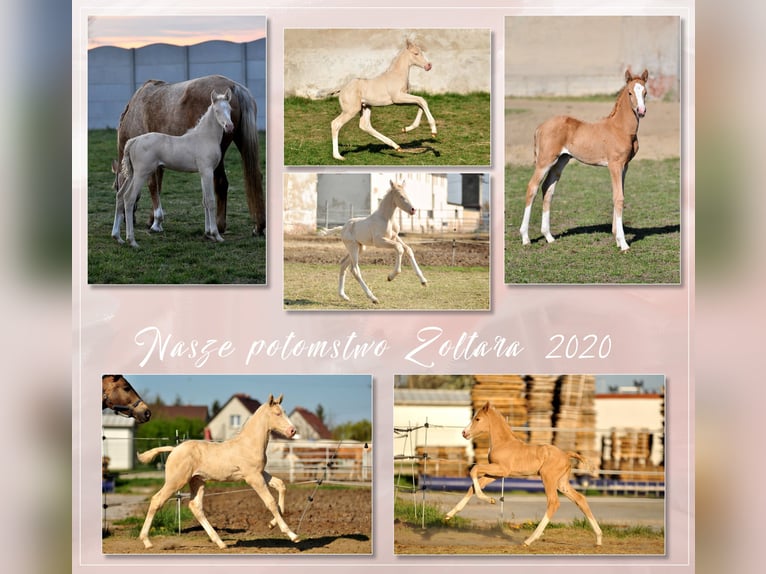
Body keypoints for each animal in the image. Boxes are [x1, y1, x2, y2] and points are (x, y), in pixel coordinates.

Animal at [448, 402, 604, 548]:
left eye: (477, 419)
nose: (464, 432)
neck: (503, 443)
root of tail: (566, 455)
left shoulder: (501, 469)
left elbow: (474, 470)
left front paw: (490, 500)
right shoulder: (496, 474)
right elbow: (474, 486)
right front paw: (450, 514)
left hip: (548, 478)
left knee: (553, 502)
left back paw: (529, 540)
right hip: (562, 483)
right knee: (580, 499)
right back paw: (598, 539)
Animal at [520, 70, 648, 252]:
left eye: (645, 92)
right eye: (630, 92)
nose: (641, 110)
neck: (620, 128)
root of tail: (540, 127)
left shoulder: (625, 166)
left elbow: (618, 195)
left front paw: (616, 237)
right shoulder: (615, 165)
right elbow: (618, 198)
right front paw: (623, 243)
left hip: (561, 161)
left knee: (548, 189)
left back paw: (549, 236)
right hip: (545, 161)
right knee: (533, 187)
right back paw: (525, 237)